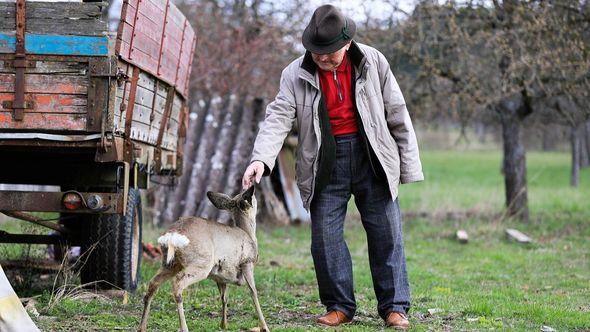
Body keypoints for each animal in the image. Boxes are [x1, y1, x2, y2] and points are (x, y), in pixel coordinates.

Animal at [138, 187, 270, 332]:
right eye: (253, 198)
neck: (248, 235)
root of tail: (173, 235)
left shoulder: (220, 276)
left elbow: (224, 297)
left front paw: (223, 325)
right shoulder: (247, 262)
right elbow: (253, 292)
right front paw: (264, 327)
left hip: (169, 263)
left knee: (152, 284)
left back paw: (141, 327)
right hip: (201, 263)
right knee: (177, 283)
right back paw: (184, 328)